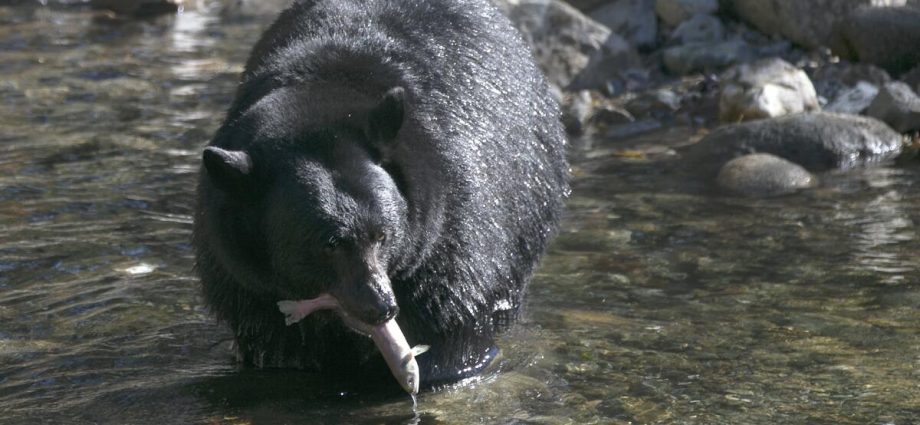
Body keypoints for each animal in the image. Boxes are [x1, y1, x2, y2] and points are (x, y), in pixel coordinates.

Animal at [192, 0, 568, 390]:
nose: (381, 306)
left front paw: (436, 365)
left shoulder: (453, 227)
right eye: (329, 244)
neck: (318, 94)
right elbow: (273, 339)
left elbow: (454, 311)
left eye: (383, 235)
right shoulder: (242, 275)